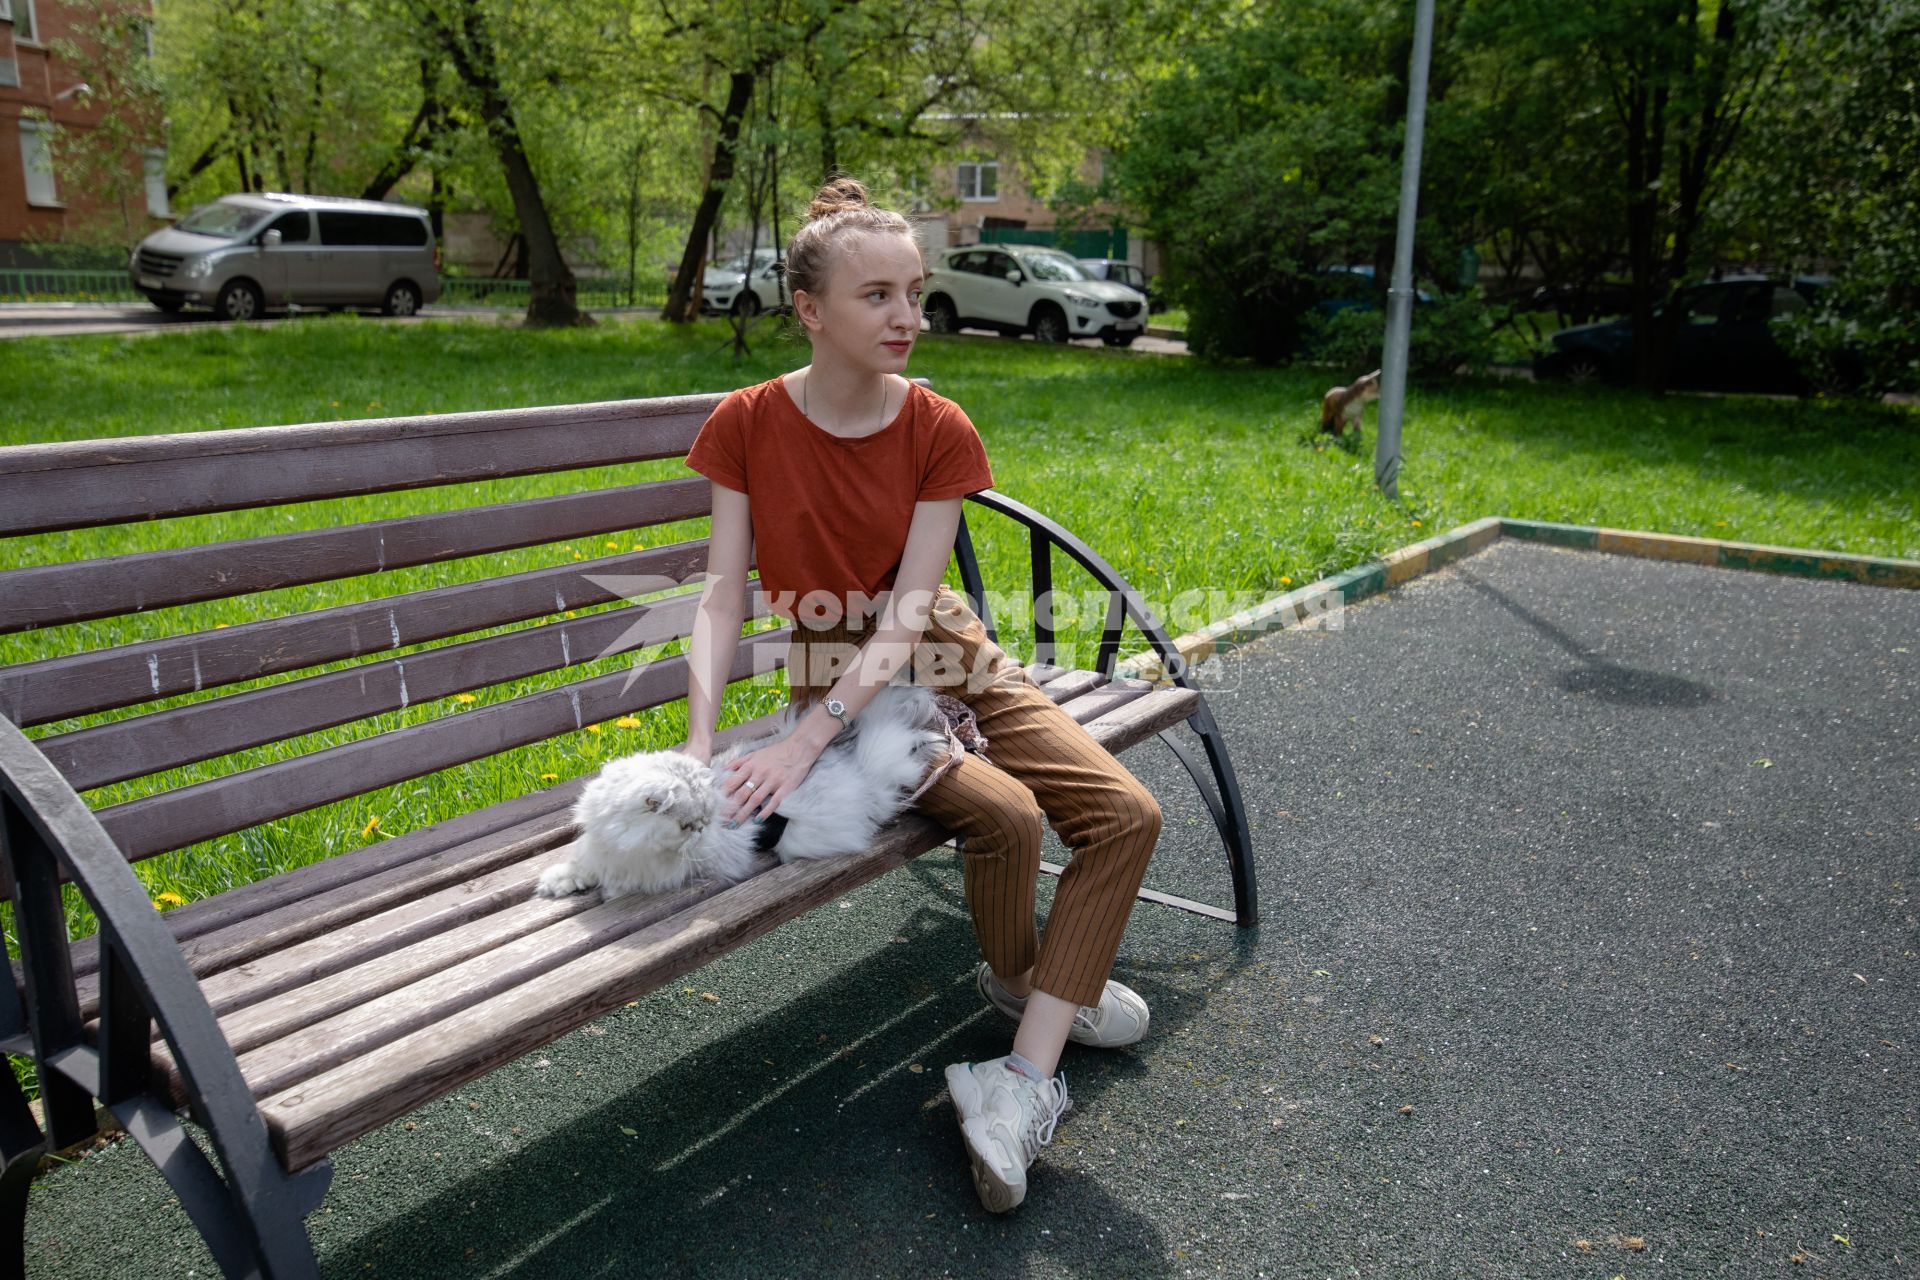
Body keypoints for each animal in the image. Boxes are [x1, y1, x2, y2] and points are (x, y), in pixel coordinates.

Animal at [533, 679, 960, 901]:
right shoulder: (599, 848)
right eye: (687, 825)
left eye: (702, 823)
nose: (700, 831)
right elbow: (580, 863)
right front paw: (556, 884)